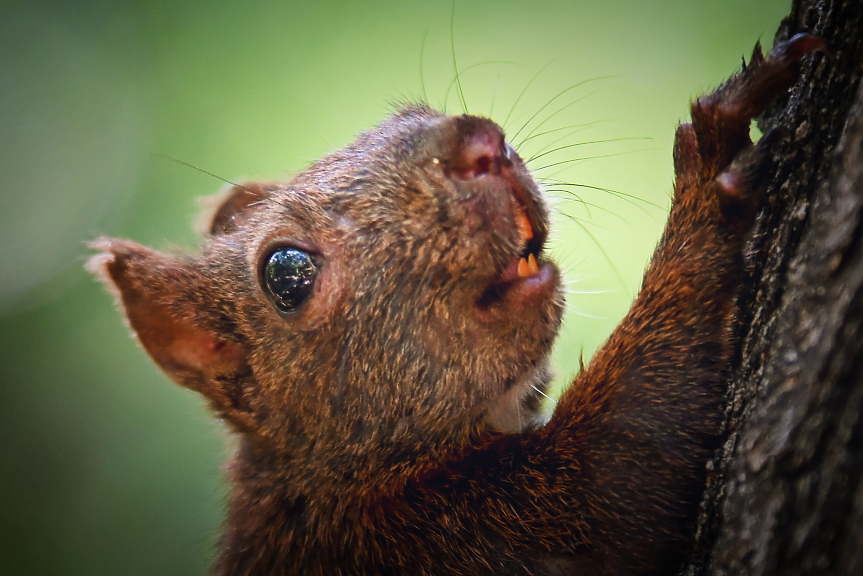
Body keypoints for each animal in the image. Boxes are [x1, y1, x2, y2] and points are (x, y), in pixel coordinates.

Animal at [88, 33, 824, 572]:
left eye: (407, 112)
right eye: (287, 274)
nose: (483, 143)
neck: (334, 485)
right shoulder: (471, 532)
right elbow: (631, 453)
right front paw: (710, 172)